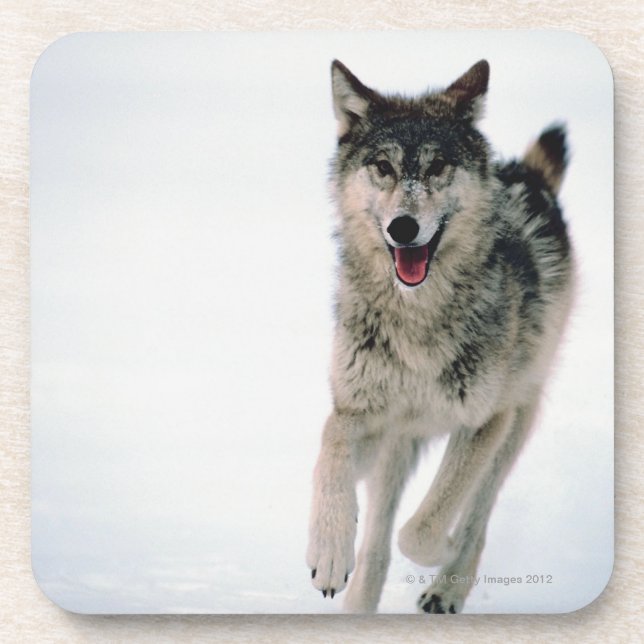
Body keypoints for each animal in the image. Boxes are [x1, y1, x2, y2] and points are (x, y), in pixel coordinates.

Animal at [306, 58, 573, 613]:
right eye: (383, 167)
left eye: (437, 167)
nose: (403, 227)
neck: (418, 319)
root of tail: (527, 173)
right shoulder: (360, 413)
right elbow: (330, 448)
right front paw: (329, 551)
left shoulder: (485, 420)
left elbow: (425, 528)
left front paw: (445, 547)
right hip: (397, 447)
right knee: (378, 539)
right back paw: (358, 605)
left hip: (515, 422)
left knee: (477, 512)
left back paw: (449, 584)